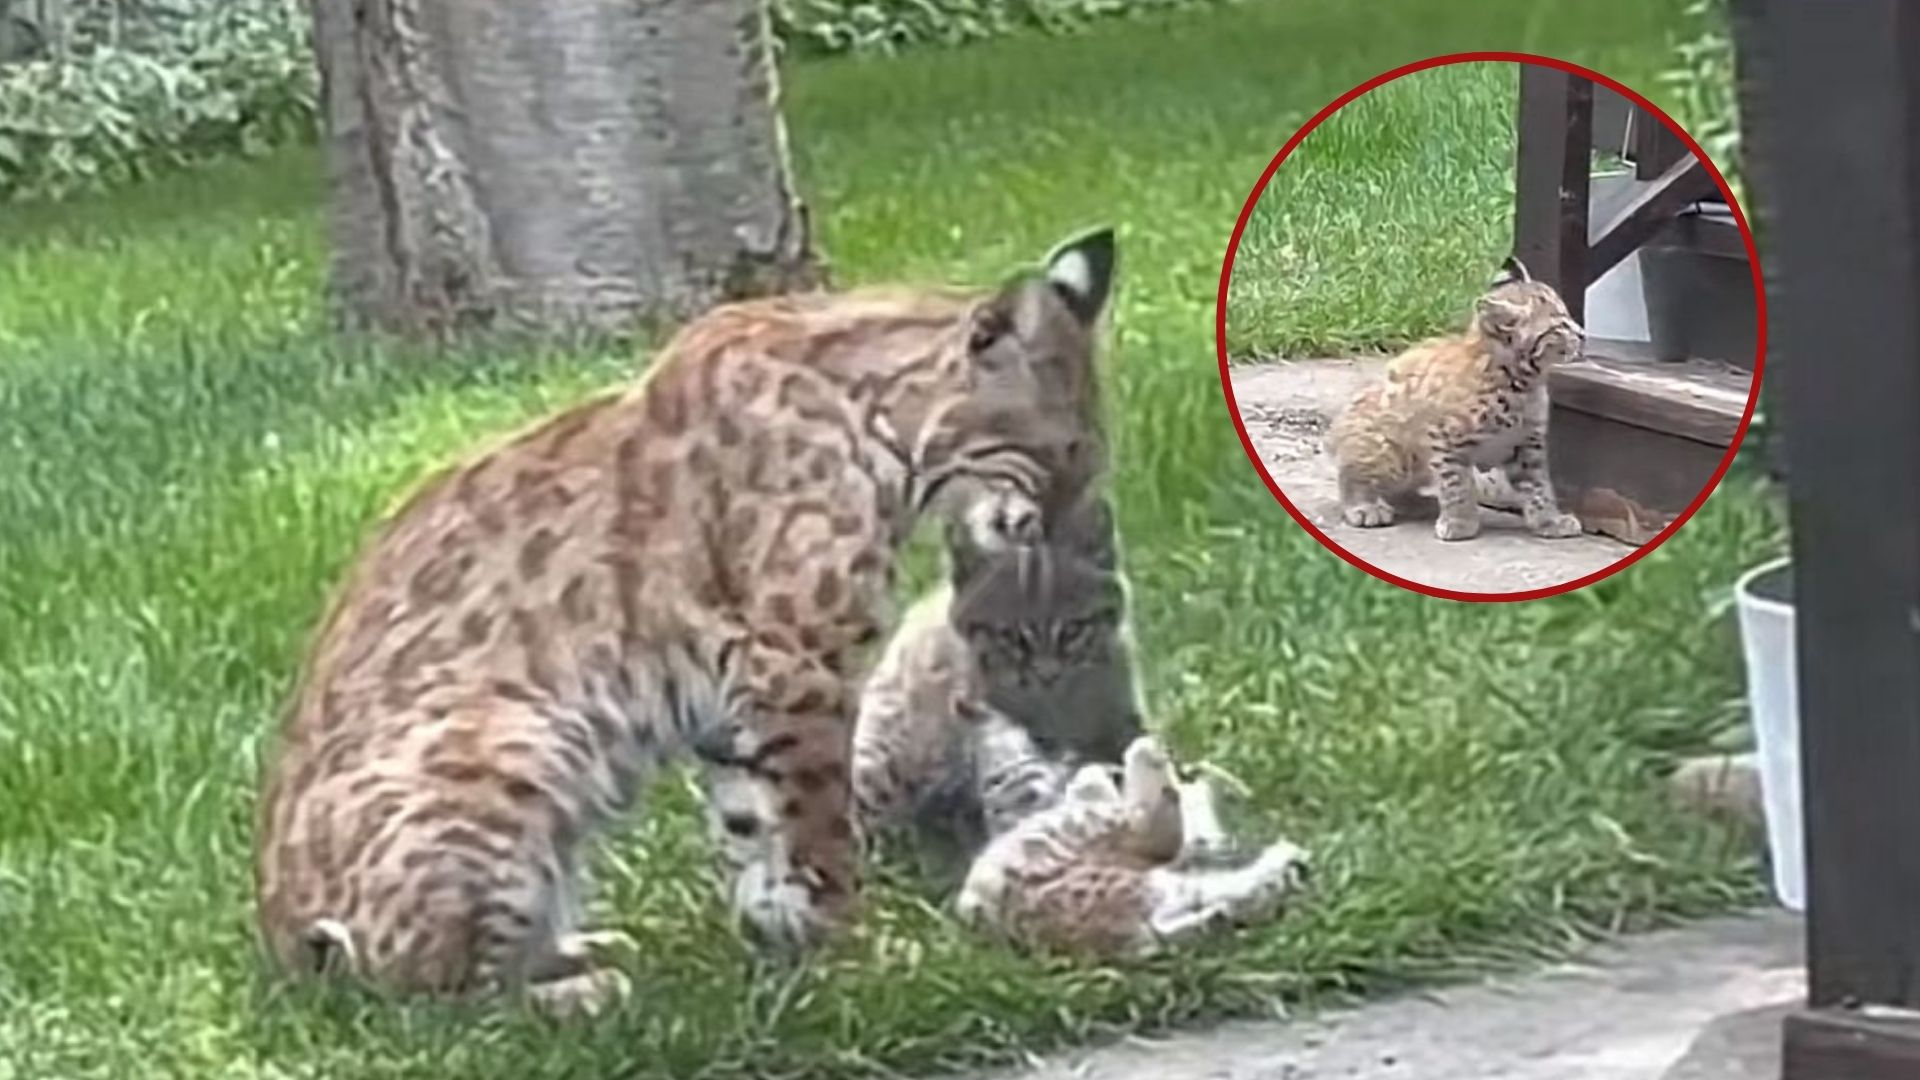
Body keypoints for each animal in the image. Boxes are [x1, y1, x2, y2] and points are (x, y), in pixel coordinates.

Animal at [1328, 251, 1582, 538]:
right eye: (1560, 326)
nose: (1583, 334)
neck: (1519, 381)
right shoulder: (1444, 438)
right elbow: (1457, 483)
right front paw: (1460, 522)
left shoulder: (1527, 444)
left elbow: (1540, 487)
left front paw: (1550, 521)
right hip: (1392, 455)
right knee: (1352, 474)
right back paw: (1363, 506)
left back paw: (1419, 504)